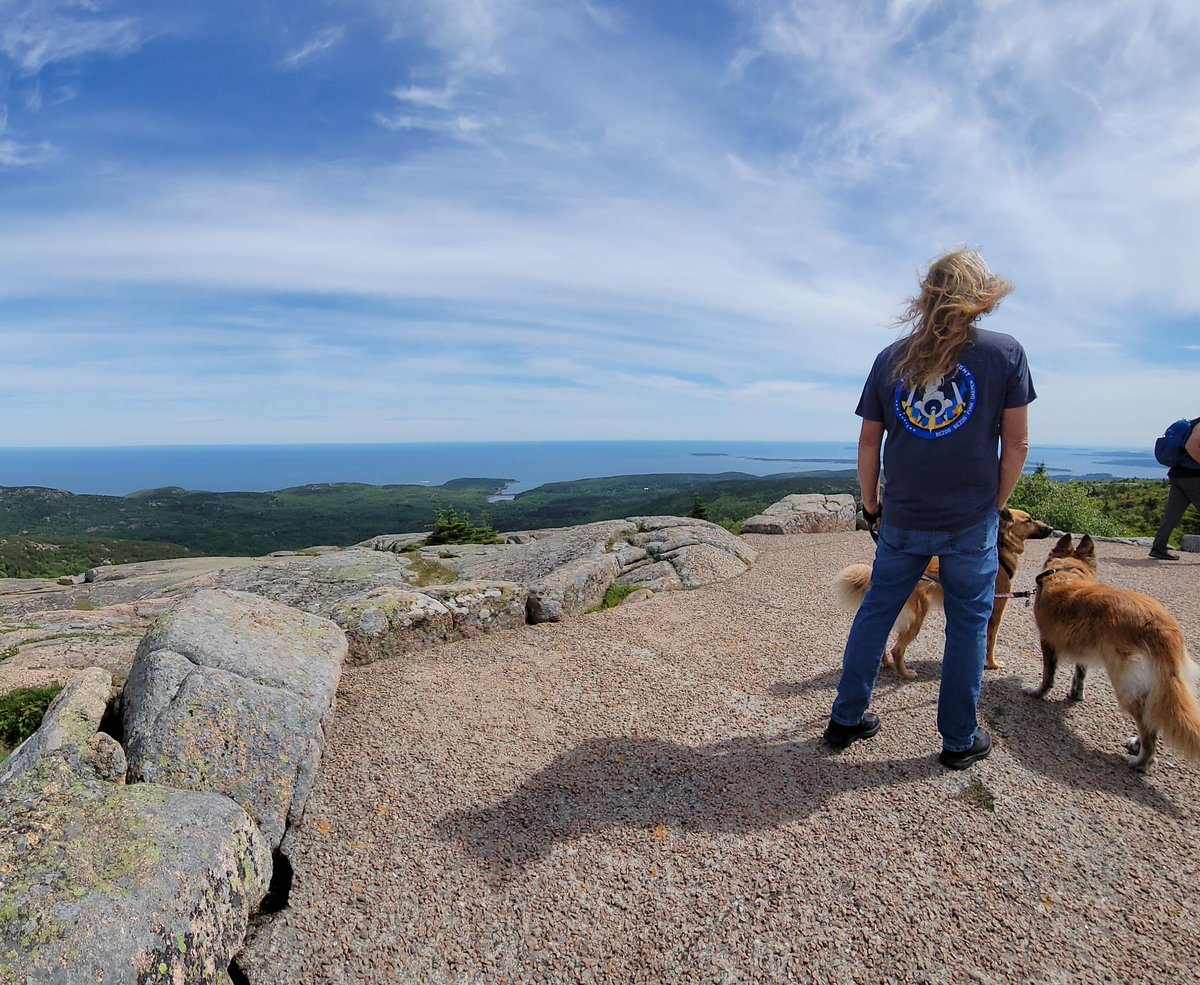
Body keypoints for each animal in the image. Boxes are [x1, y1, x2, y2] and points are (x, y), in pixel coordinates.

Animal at [835, 506, 1051, 676]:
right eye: (1029, 520)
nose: (1050, 529)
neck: (1001, 547)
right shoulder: (996, 611)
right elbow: (990, 642)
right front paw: (992, 664)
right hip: (916, 617)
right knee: (897, 649)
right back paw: (906, 674)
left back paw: (886, 664)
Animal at [1022, 535, 1200, 772]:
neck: (1068, 571)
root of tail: (1163, 630)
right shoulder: (1084, 649)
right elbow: (1080, 675)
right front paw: (1075, 694)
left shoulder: (1048, 641)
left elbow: (1047, 675)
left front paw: (1038, 692)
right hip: (1156, 686)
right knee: (1152, 717)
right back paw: (1137, 744)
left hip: (1124, 683)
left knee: (1148, 730)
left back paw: (1140, 761)